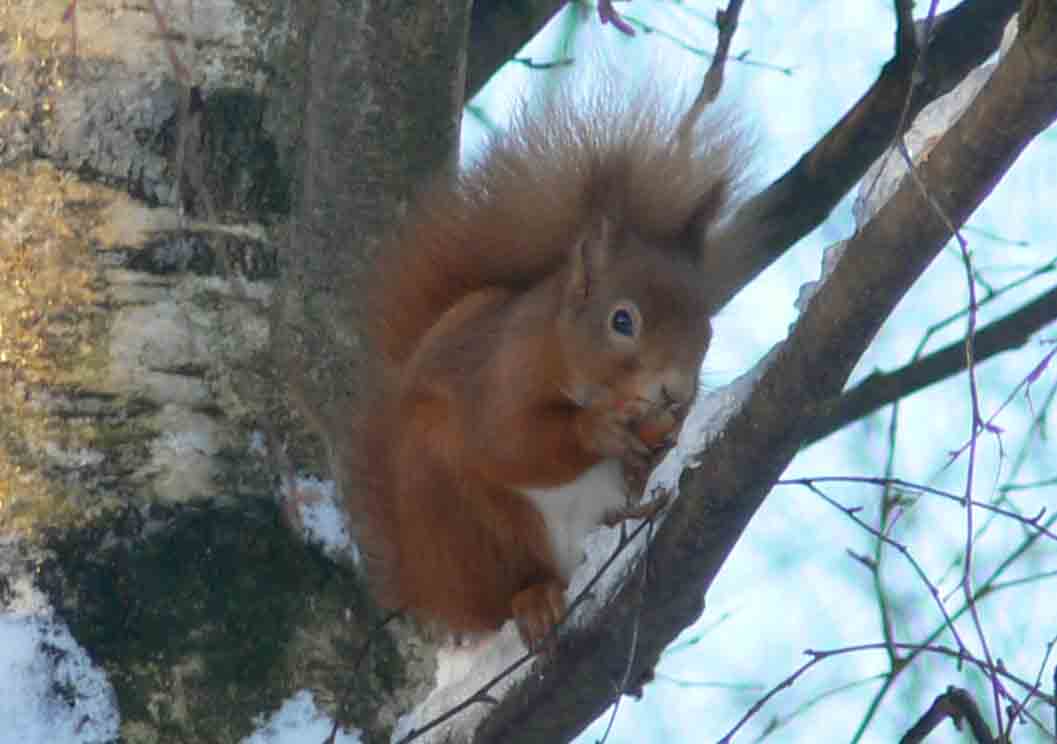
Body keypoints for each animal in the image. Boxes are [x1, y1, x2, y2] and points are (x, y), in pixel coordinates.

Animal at [355, 85, 744, 646]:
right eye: (622, 320)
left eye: (707, 331)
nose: (675, 392)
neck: (564, 354)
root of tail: (430, 584)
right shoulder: (500, 369)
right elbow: (505, 441)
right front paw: (598, 429)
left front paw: (661, 437)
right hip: (464, 518)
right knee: (506, 585)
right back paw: (534, 598)